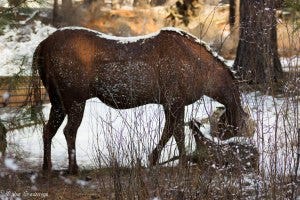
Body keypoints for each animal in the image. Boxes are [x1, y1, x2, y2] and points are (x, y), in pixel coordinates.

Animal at [32, 27, 251, 174]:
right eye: (235, 126)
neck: (205, 78)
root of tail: (41, 47)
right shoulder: (175, 100)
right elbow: (178, 133)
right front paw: (182, 163)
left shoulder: (169, 103)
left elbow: (169, 131)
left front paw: (152, 159)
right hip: (75, 98)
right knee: (68, 131)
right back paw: (73, 168)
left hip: (57, 100)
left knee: (47, 129)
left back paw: (46, 167)